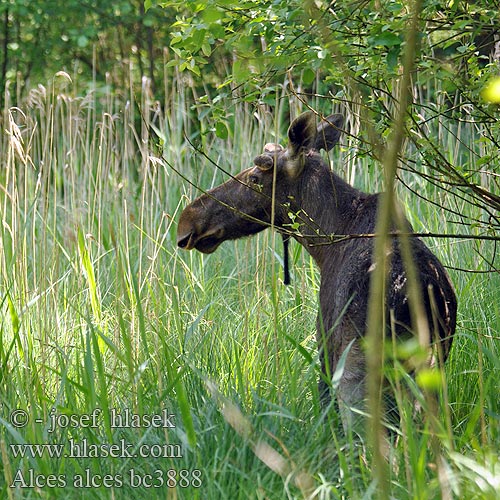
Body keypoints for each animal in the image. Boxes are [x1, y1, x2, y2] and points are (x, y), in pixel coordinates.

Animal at [177, 112, 458, 430]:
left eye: (255, 178)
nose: (188, 220)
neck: (323, 242)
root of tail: (416, 297)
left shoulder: (326, 342)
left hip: (359, 374)